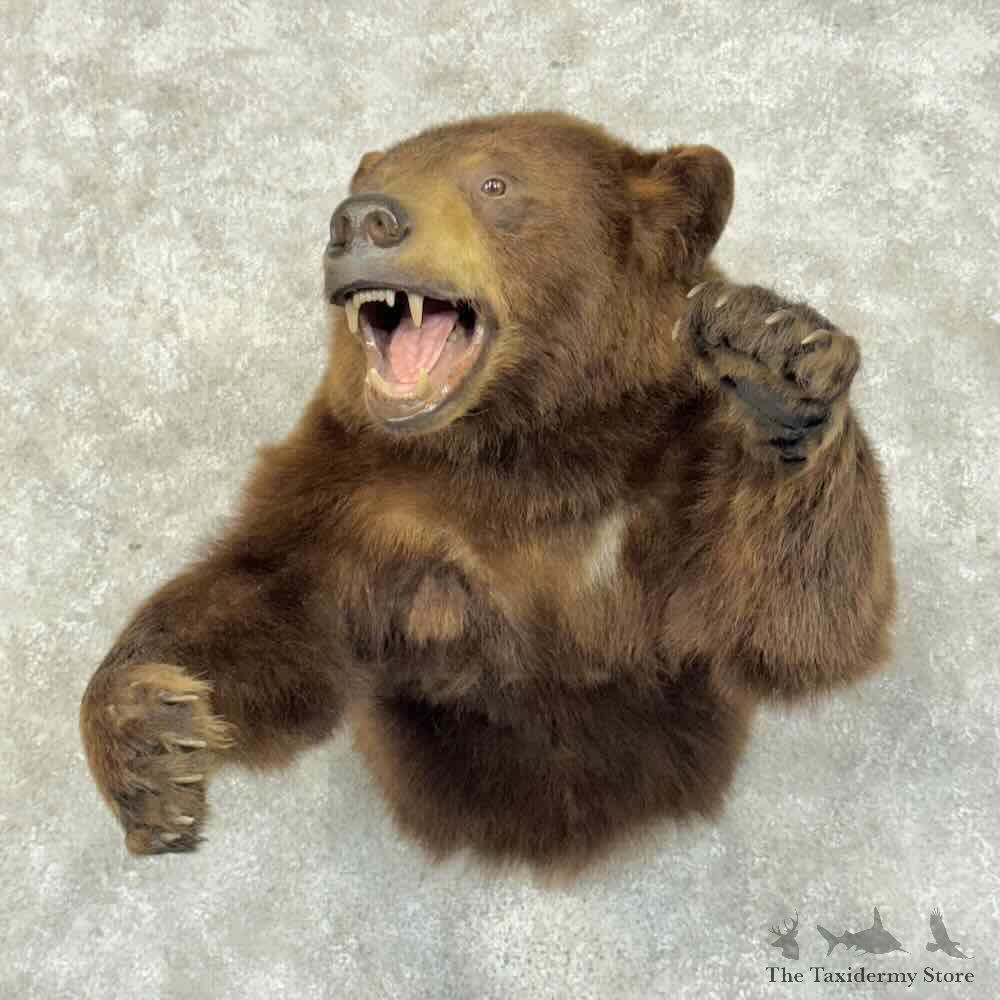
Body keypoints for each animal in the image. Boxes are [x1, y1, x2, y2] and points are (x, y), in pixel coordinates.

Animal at [80, 111, 895, 876]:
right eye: (369, 181)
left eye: (495, 183)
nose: (361, 221)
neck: (521, 447)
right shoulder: (353, 496)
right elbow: (265, 615)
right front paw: (150, 739)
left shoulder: (671, 482)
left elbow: (792, 627)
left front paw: (770, 360)